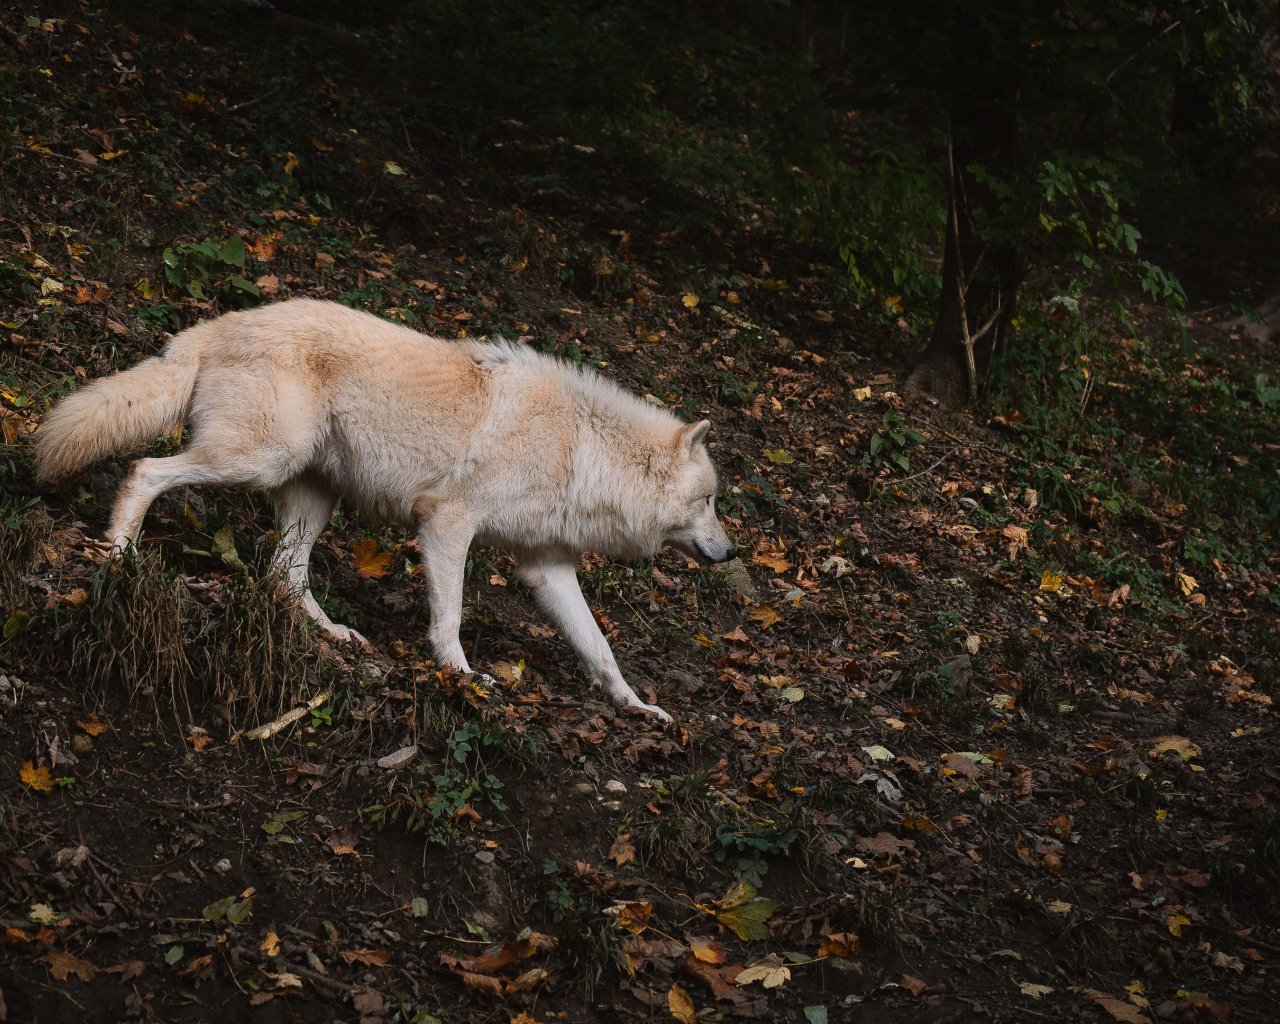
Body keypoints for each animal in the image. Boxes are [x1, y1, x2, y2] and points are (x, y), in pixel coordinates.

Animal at [34, 299, 736, 721]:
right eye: (707, 502)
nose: (730, 551)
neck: (580, 448)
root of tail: (223, 321)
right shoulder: (447, 522)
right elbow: (450, 616)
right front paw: (460, 674)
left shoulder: (547, 569)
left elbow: (601, 648)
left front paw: (637, 707)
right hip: (258, 461)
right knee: (146, 471)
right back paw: (120, 552)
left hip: (310, 497)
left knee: (283, 576)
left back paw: (336, 634)